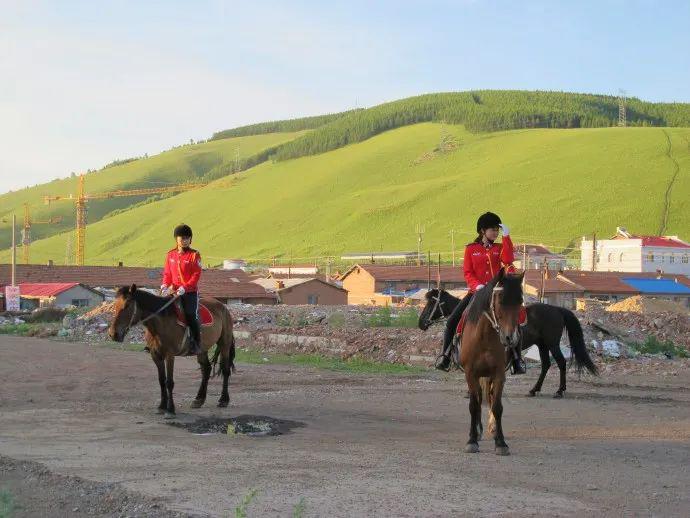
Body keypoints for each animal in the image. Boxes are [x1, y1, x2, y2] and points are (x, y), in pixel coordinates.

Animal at [107, 284, 235, 418]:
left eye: (127, 305)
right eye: (115, 305)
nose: (113, 334)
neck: (160, 322)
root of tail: (223, 307)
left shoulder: (170, 355)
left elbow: (169, 382)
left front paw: (170, 409)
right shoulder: (156, 355)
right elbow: (162, 380)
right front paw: (162, 406)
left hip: (224, 344)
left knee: (225, 370)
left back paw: (223, 400)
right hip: (202, 349)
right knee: (206, 369)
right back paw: (199, 399)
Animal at [416, 288, 592, 398]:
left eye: (431, 303)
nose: (421, 323)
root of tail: (558, 309)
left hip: (552, 344)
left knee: (561, 363)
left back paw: (559, 391)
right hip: (542, 344)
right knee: (546, 365)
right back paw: (534, 390)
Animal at [460, 270, 524, 458]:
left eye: (520, 301)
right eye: (501, 300)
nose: (511, 338)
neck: (484, 336)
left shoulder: (498, 374)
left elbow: (497, 406)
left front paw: (501, 442)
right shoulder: (470, 373)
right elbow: (474, 405)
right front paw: (472, 440)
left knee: (488, 397)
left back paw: (492, 429)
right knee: (480, 398)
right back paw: (478, 431)